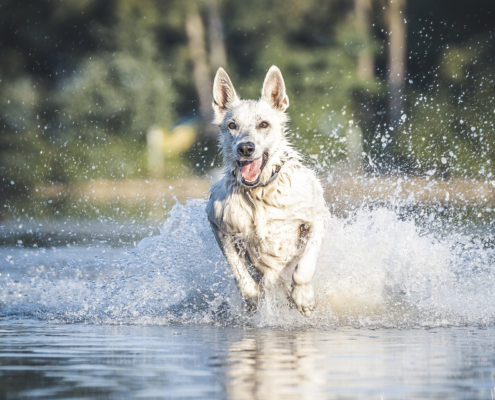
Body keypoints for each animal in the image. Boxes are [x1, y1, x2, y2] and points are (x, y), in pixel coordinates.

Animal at [206, 65, 330, 316]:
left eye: (264, 124)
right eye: (232, 125)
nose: (245, 148)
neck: (260, 193)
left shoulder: (318, 218)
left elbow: (304, 266)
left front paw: (302, 297)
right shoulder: (217, 224)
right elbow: (239, 272)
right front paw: (254, 298)